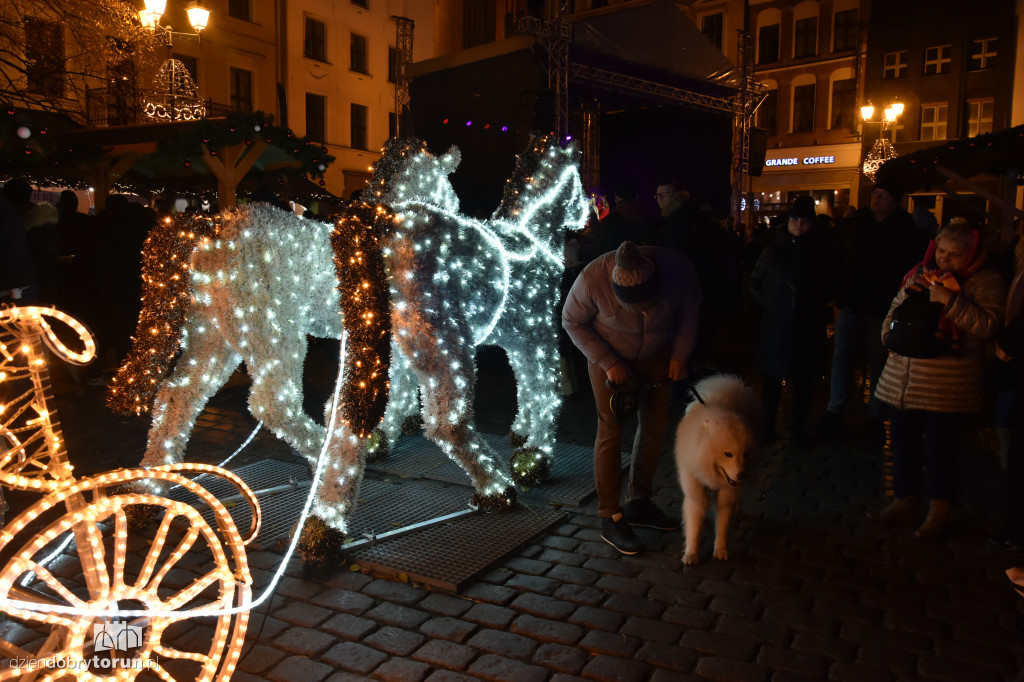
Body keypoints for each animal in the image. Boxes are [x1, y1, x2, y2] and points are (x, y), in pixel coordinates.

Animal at [671, 372, 761, 561]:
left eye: (745, 454)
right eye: (728, 454)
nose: (742, 475)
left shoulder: (726, 493)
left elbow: (723, 524)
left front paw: (721, 550)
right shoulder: (695, 490)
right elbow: (694, 525)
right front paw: (691, 553)